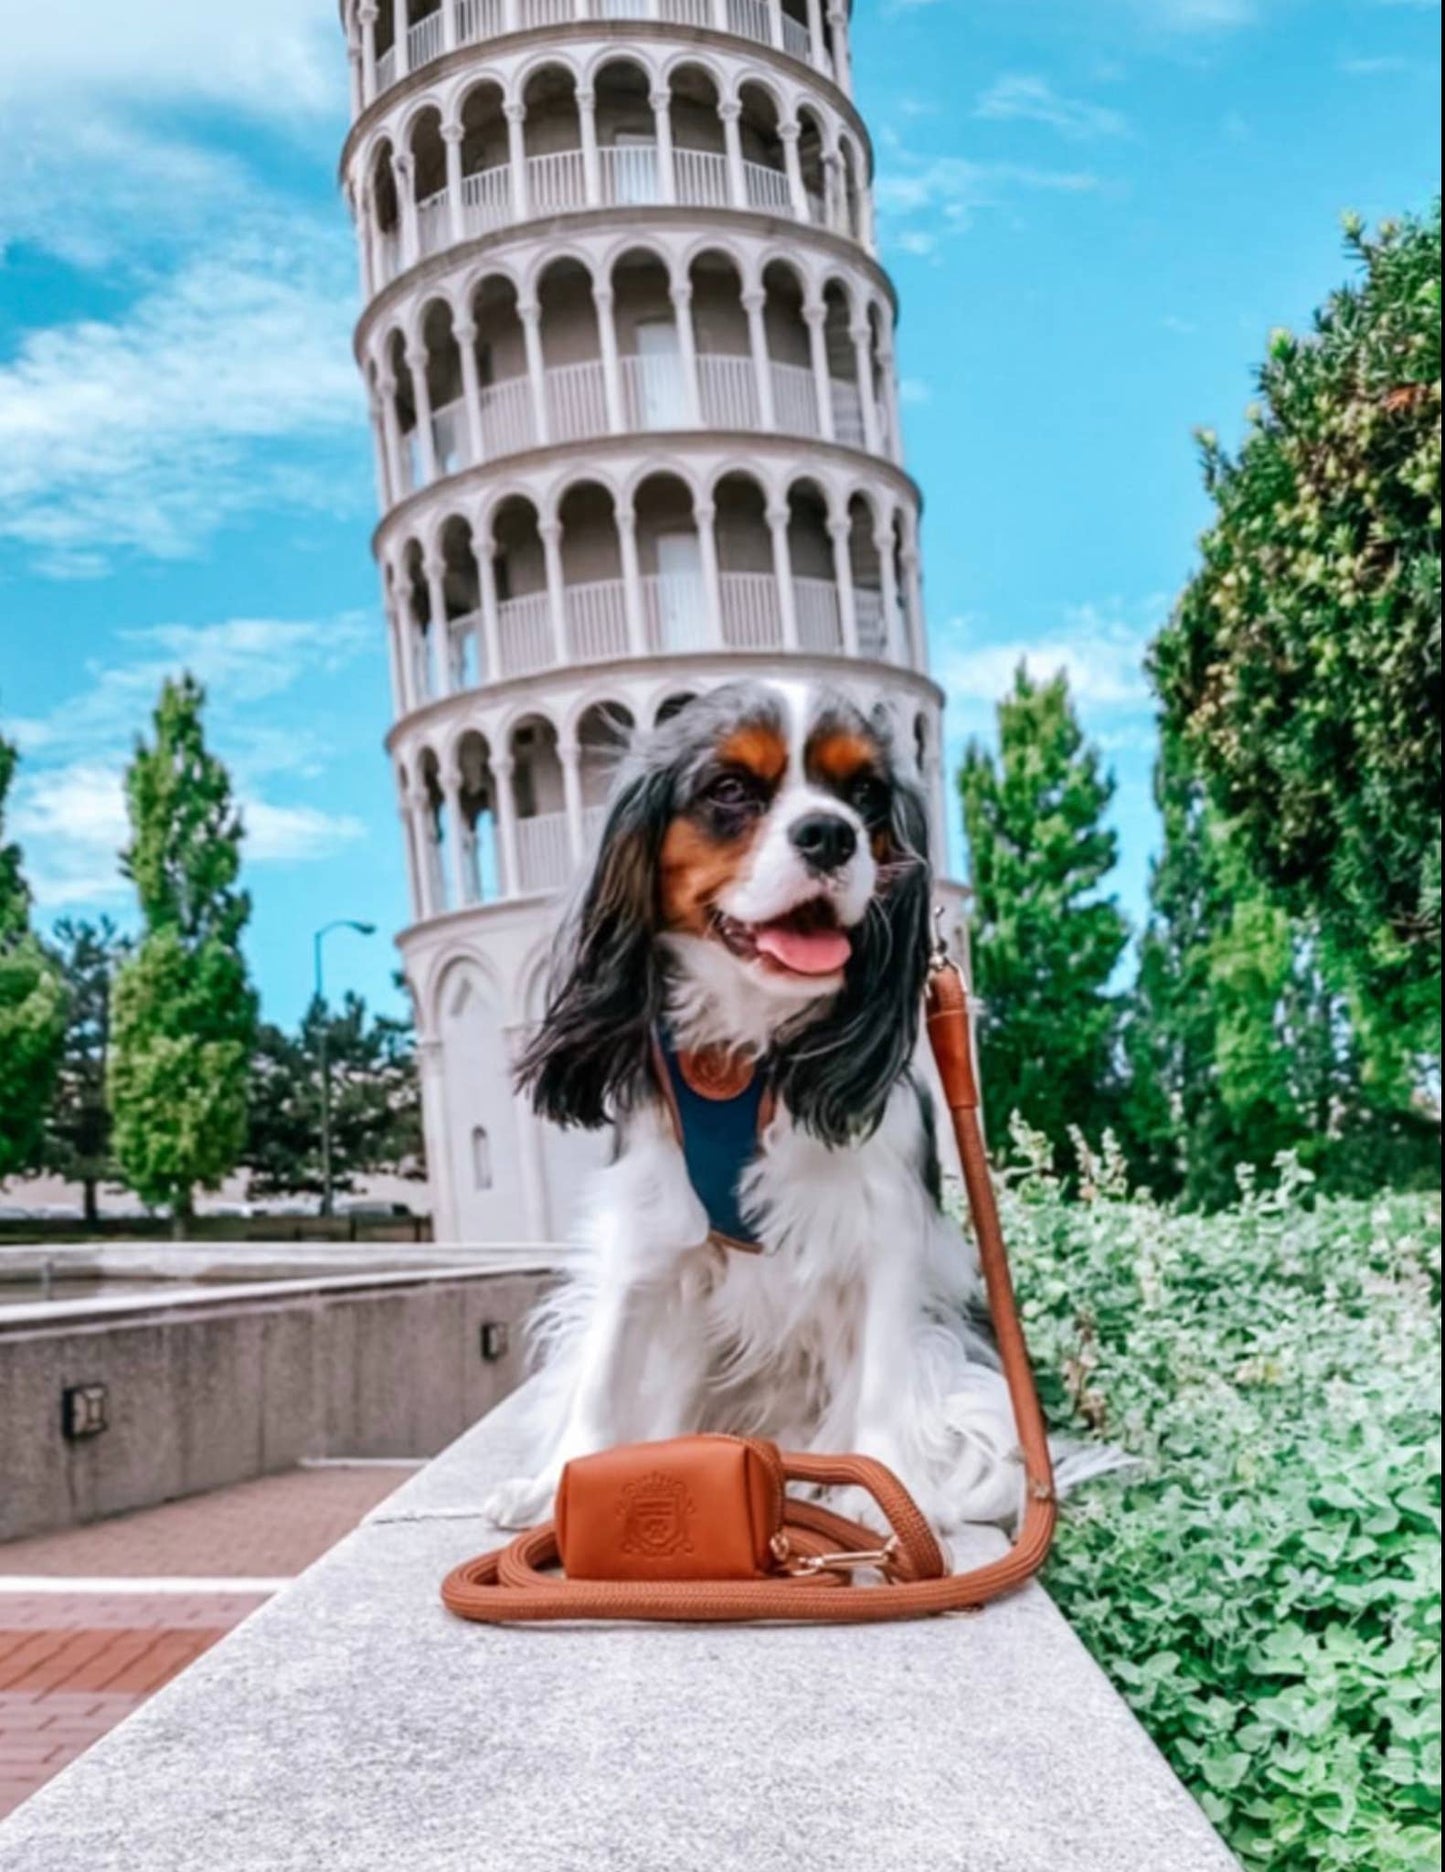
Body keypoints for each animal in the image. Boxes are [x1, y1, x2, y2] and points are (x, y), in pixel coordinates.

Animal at [486, 677, 1025, 1535]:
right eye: (730, 790)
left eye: (864, 796)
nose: (830, 835)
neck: (746, 1051)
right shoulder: (648, 1218)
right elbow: (604, 1368)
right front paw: (556, 1486)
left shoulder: (882, 1228)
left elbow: (881, 1377)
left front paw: (885, 1492)